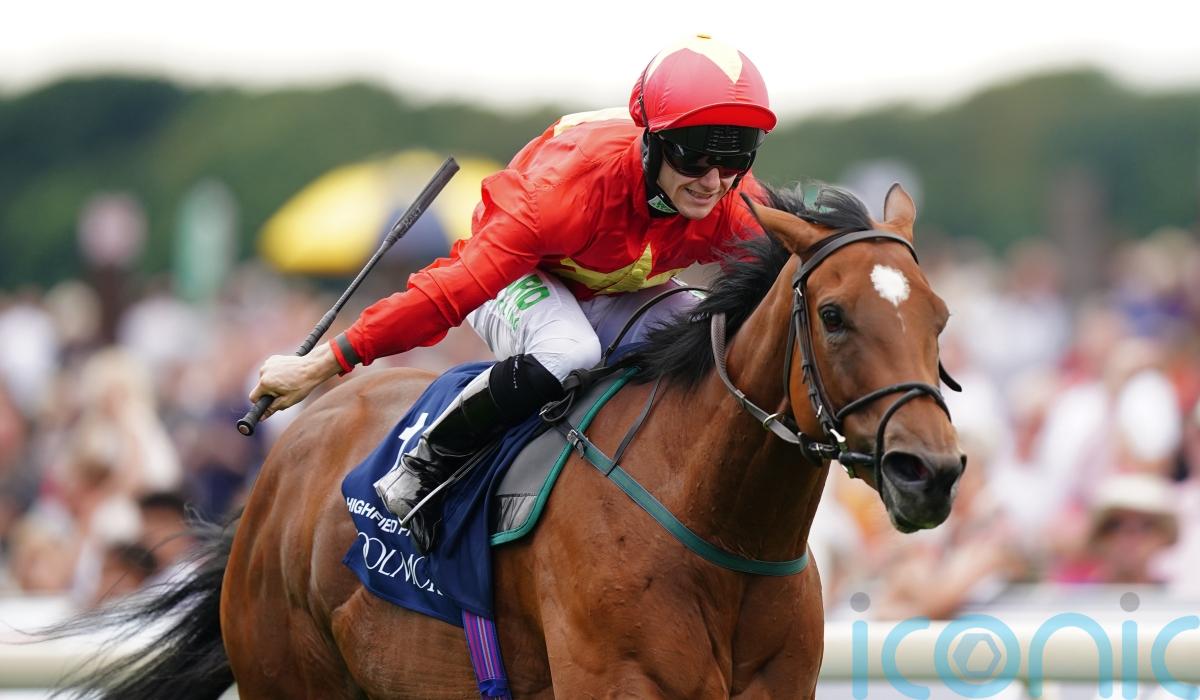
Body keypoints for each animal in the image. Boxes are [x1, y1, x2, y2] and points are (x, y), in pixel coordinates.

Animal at [64, 183, 963, 699]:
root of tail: (280, 466)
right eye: (834, 315)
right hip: (290, 677)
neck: (720, 524)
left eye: (941, 315)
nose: (931, 471)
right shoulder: (618, 682)